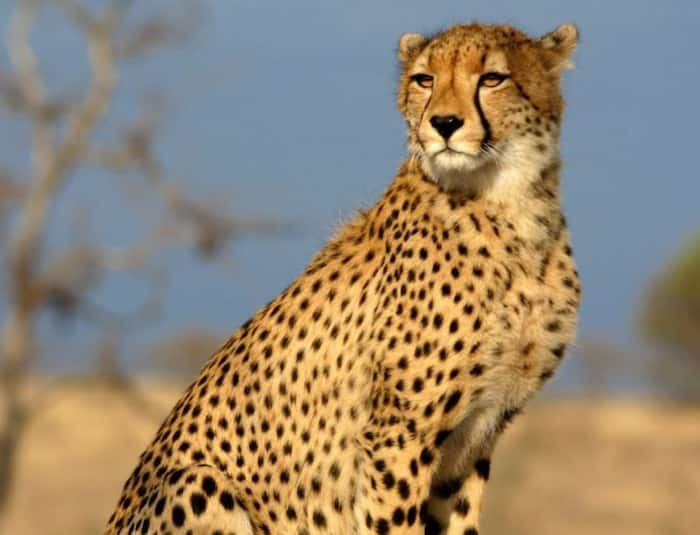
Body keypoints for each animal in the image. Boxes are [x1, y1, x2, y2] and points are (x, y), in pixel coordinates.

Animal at [104, 21, 582, 535]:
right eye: (425, 80)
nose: (443, 124)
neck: (513, 208)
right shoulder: (400, 433)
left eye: (493, 78)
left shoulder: (476, 434)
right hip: (197, 480)